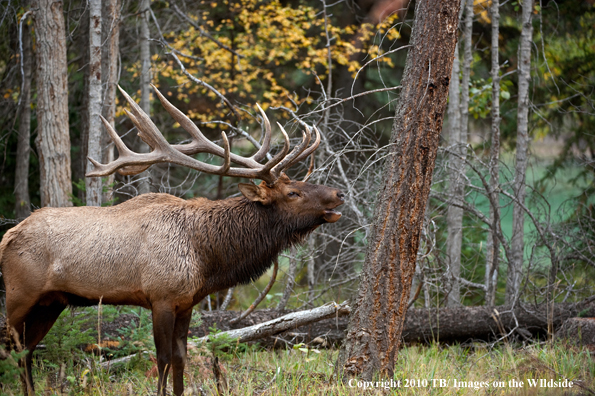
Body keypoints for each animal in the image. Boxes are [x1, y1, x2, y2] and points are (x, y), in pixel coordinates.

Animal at [0, 85, 344, 394]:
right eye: (293, 192)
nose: (338, 194)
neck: (206, 256)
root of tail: (7, 235)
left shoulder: (186, 302)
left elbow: (180, 358)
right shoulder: (161, 297)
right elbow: (163, 358)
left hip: (51, 302)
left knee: (26, 350)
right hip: (20, 295)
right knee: (12, 347)